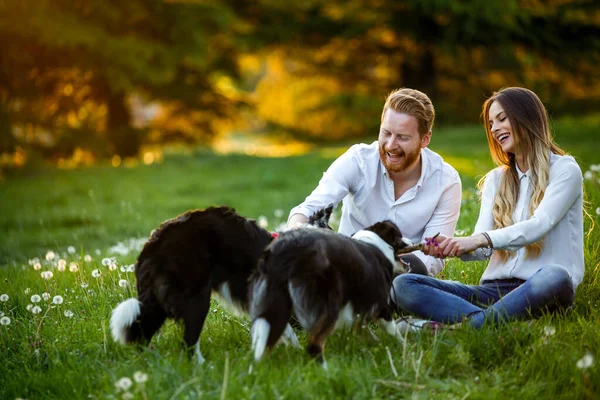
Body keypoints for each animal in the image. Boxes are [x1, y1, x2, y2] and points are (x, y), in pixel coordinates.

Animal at [109, 205, 332, 364]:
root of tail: (151, 245)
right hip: (196, 297)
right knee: (188, 343)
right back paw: (202, 366)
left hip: (159, 301)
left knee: (143, 332)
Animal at [248, 220, 408, 368]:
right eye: (400, 237)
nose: (411, 241)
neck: (377, 244)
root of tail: (286, 250)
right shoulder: (380, 305)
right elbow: (393, 330)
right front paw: (403, 346)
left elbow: (362, 328)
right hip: (328, 302)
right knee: (314, 343)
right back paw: (326, 370)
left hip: (278, 300)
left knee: (269, 338)